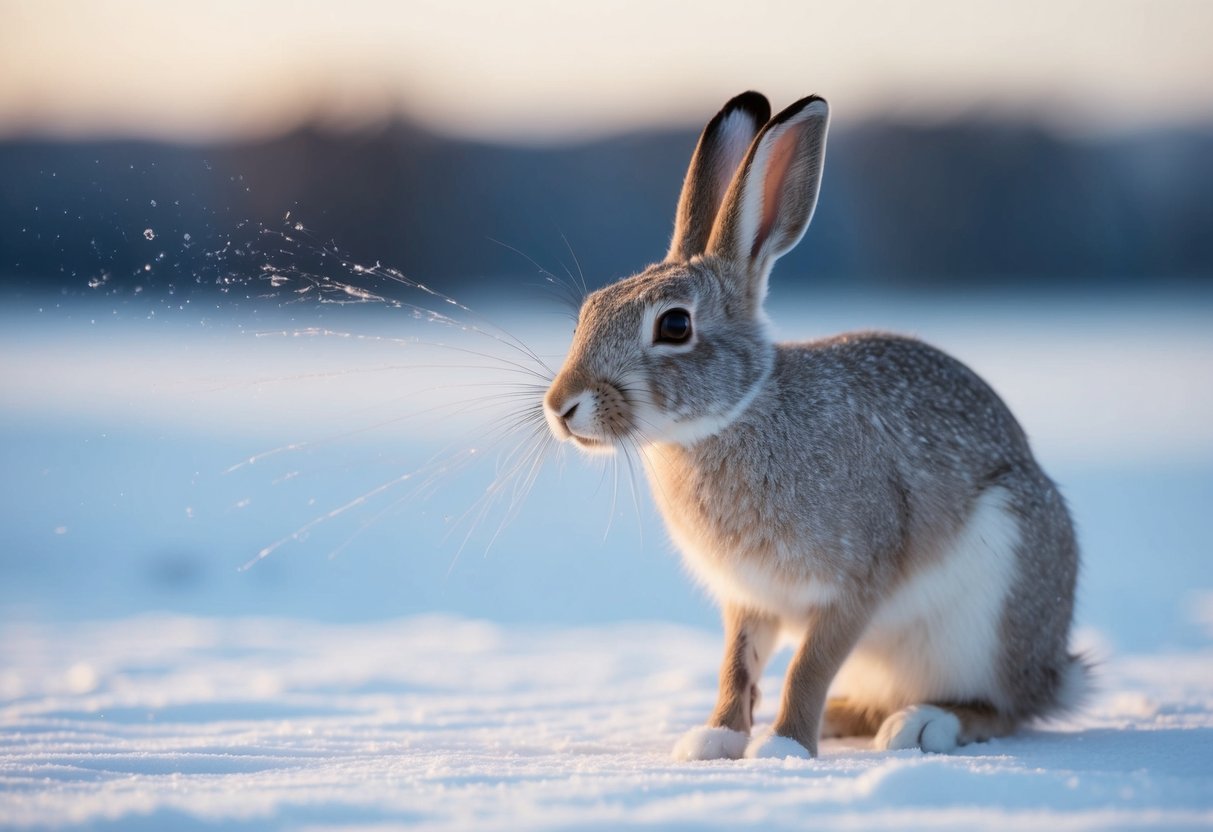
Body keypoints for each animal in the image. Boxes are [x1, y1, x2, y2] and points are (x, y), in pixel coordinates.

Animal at [542, 91, 1085, 760]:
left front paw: (783, 748)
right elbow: (736, 666)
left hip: (991, 613)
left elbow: (809, 667)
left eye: (674, 326)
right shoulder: (749, 601)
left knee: (1004, 709)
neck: (734, 415)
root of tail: (1056, 671)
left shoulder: (854, 584)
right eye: (590, 309)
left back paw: (923, 724)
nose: (561, 406)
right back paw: (847, 716)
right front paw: (715, 740)